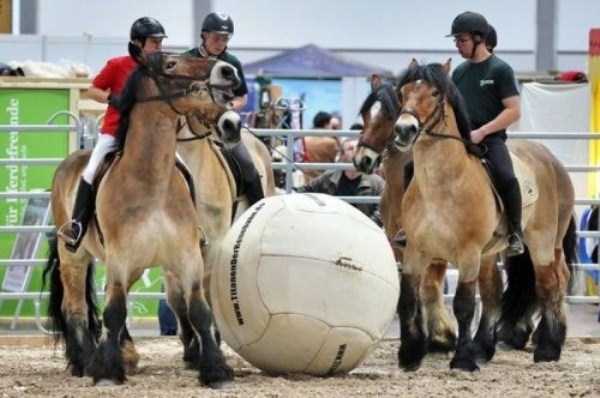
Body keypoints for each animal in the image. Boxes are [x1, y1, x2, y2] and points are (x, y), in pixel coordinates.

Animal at [41, 49, 241, 386]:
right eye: (171, 64)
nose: (228, 71)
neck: (152, 184)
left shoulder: (188, 256)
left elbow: (199, 309)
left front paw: (215, 369)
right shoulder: (120, 258)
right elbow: (114, 311)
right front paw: (107, 372)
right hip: (74, 257)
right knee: (75, 308)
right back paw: (85, 361)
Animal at [354, 59, 576, 374]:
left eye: (435, 93)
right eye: (403, 94)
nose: (405, 129)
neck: (442, 185)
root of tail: (551, 158)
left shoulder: (466, 252)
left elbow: (462, 303)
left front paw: (458, 355)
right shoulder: (414, 250)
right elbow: (409, 297)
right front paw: (411, 354)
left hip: (543, 242)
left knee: (550, 283)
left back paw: (547, 347)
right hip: (493, 252)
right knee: (495, 290)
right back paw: (486, 347)